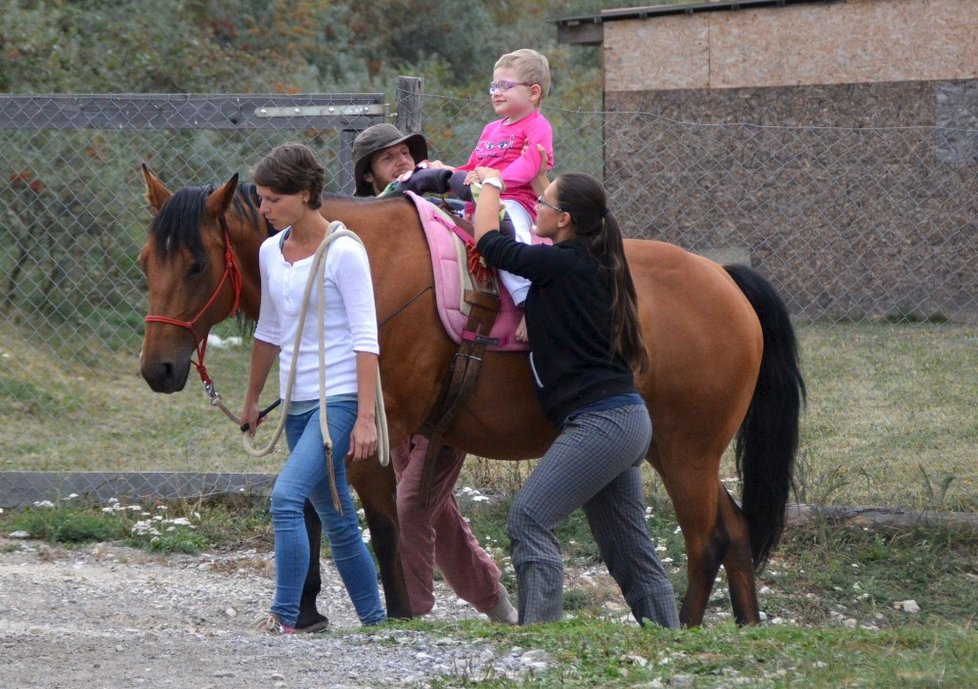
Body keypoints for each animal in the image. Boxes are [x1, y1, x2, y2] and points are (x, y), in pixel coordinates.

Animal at [139, 164, 808, 628]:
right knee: (736, 532)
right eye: (147, 261)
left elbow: (384, 527)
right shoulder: (328, 424)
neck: (363, 265)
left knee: (707, 540)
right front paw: (304, 609)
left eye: (197, 265)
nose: (158, 368)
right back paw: (744, 627)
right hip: (675, 452)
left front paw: (396, 614)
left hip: (687, 452)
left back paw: (690, 628)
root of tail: (725, 279)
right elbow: (306, 506)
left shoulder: (377, 430)